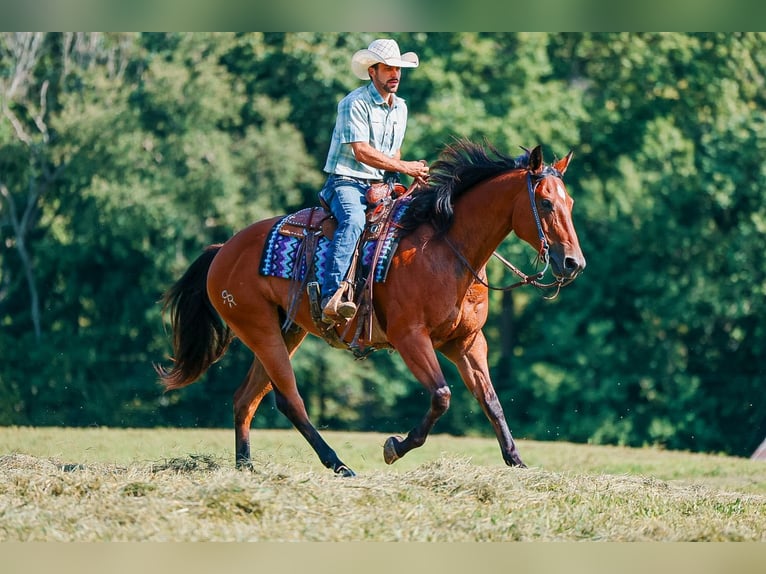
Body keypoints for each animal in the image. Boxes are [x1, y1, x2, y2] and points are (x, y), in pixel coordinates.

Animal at [155, 139, 586, 476]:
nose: (573, 263)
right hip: (259, 329)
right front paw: (394, 446)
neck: (447, 249)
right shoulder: (410, 337)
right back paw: (338, 464)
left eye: (570, 201)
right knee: (288, 399)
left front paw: (517, 463)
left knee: (246, 399)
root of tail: (222, 250)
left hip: (286, 330)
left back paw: (246, 469)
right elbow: (441, 395)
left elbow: (491, 401)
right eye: (545, 203)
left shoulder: (467, 342)